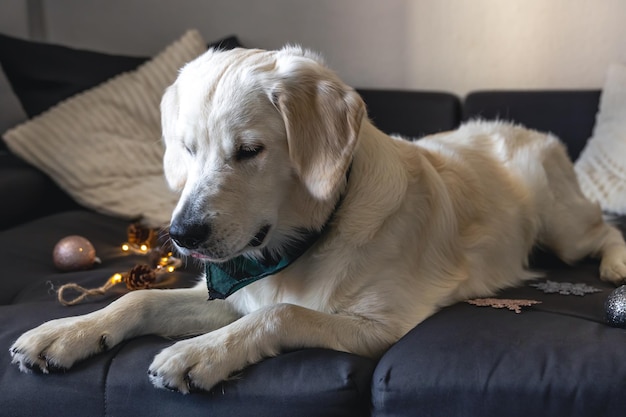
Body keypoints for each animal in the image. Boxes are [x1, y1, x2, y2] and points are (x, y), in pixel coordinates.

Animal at [9, 46, 624, 394]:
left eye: (249, 151)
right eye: (186, 148)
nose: (182, 236)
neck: (298, 243)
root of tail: (516, 127)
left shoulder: (381, 326)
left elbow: (281, 314)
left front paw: (198, 354)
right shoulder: (231, 294)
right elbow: (139, 299)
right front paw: (66, 333)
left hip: (563, 229)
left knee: (605, 229)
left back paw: (615, 266)